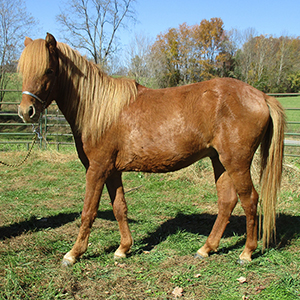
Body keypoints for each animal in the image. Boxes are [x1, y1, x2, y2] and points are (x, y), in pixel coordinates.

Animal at [17, 34, 284, 266]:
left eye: (49, 70)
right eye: (23, 71)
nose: (26, 111)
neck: (99, 110)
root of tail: (261, 96)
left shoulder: (97, 170)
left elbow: (88, 212)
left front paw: (73, 254)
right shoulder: (112, 171)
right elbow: (119, 208)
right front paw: (123, 249)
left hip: (237, 163)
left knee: (250, 200)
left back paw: (246, 253)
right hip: (220, 162)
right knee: (227, 202)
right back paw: (206, 249)